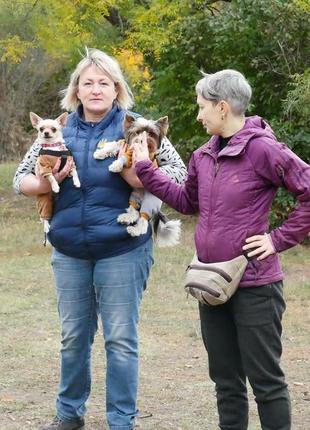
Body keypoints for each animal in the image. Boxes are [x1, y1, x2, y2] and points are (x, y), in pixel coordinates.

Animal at [93, 114, 180, 247]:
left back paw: (134, 230)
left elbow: (123, 159)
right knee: (134, 212)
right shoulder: (125, 145)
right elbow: (114, 144)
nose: (142, 140)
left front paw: (115, 166)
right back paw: (126, 218)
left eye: (151, 133)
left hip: (150, 201)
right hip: (134, 195)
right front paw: (100, 153)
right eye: (137, 132)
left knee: (143, 220)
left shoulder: (136, 158)